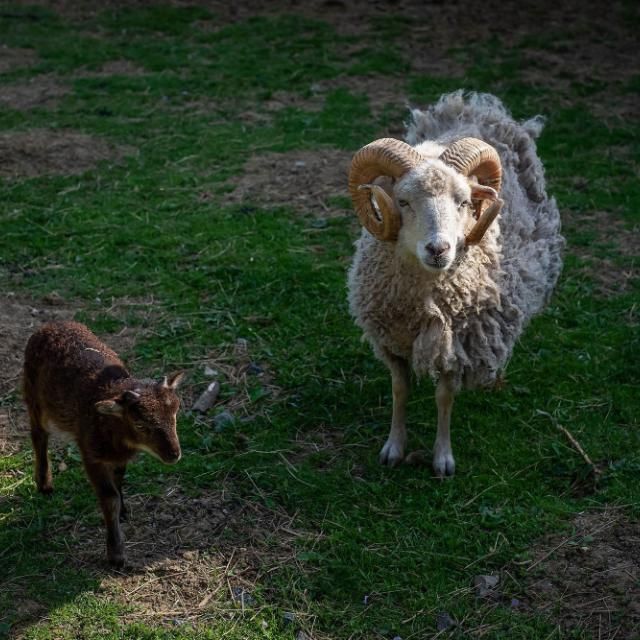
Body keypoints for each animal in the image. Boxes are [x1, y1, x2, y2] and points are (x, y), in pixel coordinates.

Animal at [24, 322, 184, 568]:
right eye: (139, 423)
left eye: (175, 413)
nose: (174, 454)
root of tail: (51, 325)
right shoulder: (91, 455)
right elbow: (109, 498)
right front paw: (116, 554)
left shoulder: (118, 457)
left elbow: (118, 482)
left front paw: (123, 512)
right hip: (33, 395)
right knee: (39, 434)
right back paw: (44, 484)